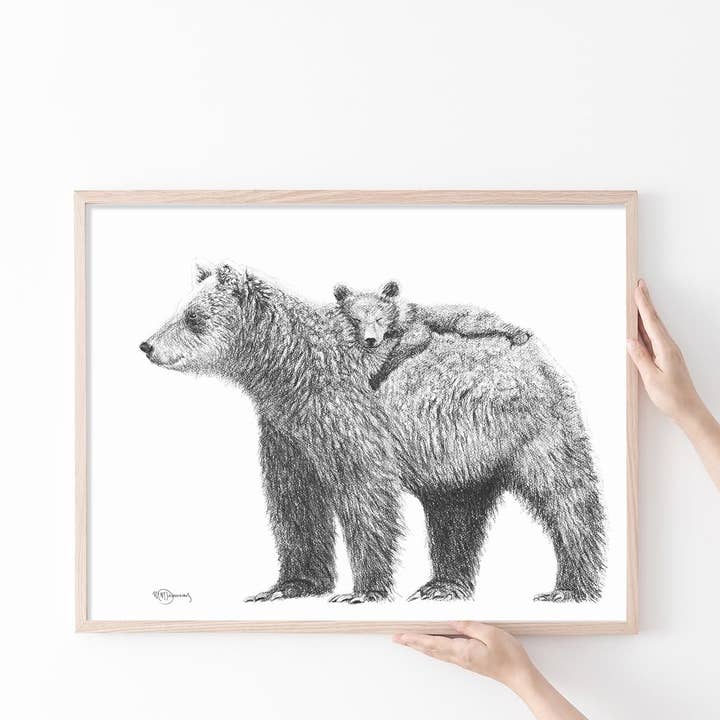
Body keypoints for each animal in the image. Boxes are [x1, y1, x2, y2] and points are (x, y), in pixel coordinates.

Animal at [333, 280, 531, 390]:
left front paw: (376, 377)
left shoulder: (416, 323)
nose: (370, 340)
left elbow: (411, 342)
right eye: (356, 319)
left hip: (464, 320)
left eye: (379, 318)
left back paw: (520, 334)